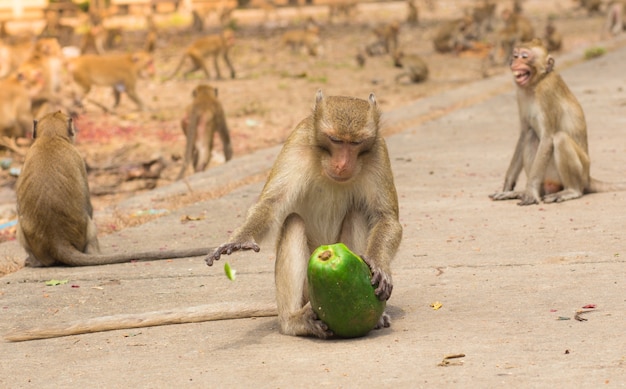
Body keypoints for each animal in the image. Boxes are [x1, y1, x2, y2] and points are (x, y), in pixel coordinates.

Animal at [202, 90, 402, 336]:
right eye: (335, 140)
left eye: (356, 143)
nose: (342, 165)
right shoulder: (296, 144)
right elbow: (271, 204)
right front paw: (240, 239)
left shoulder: (378, 151)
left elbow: (387, 218)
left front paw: (378, 264)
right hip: (308, 292)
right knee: (293, 222)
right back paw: (294, 321)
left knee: (357, 214)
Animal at [488, 38, 624, 206]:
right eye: (515, 55)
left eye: (524, 56)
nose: (513, 62)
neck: (537, 82)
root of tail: (588, 178)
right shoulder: (520, 94)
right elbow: (524, 134)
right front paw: (508, 187)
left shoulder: (547, 92)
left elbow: (547, 138)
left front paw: (530, 192)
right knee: (531, 136)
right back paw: (528, 192)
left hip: (580, 171)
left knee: (560, 138)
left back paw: (571, 191)